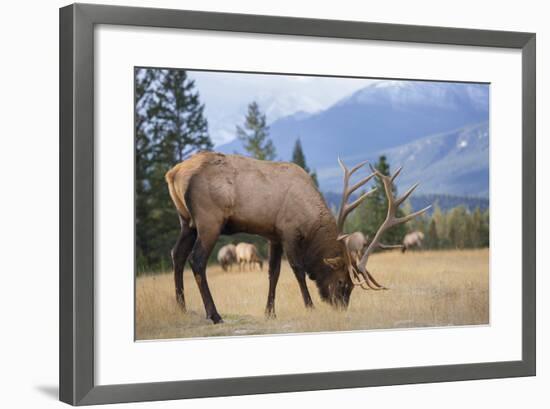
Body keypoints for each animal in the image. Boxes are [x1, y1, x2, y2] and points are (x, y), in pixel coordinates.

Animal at [165, 151, 432, 324]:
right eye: (343, 283)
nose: (341, 308)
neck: (310, 218)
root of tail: (173, 173)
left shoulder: (272, 235)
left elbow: (273, 272)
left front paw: (270, 312)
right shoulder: (289, 231)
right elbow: (298, 270)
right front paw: (310, 305)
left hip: (186, 221)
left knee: (177, 255)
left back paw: (181, 307)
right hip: (209, 220)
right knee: (197, 260)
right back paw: (214, 314)